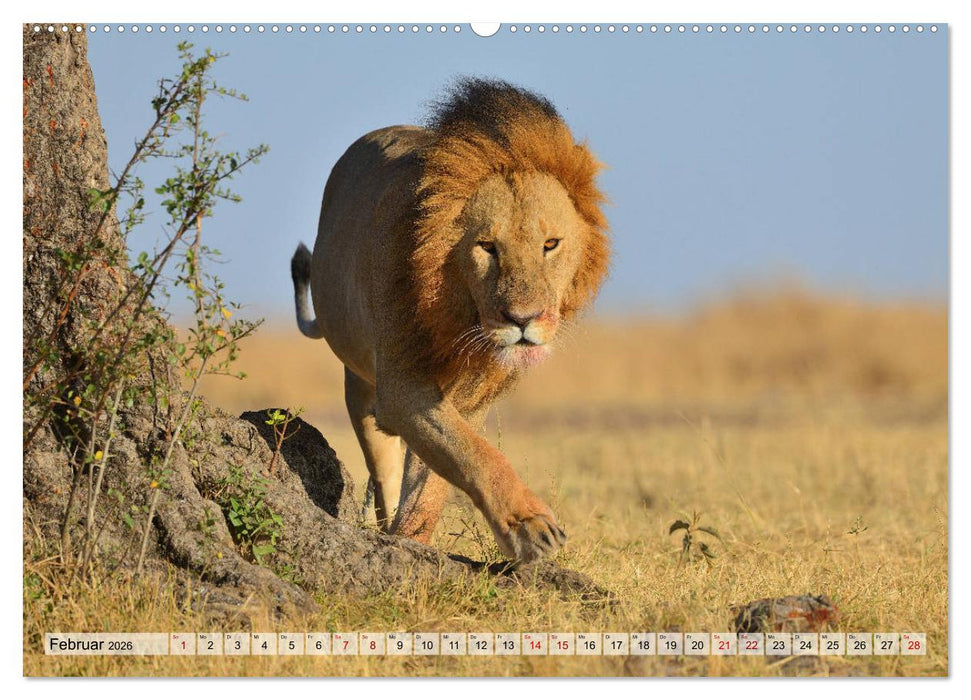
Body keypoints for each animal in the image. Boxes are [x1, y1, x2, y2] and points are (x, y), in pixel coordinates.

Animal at [291, 78, 609, 562]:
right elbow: (476, 455)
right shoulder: (402, 385)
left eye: (550, 244)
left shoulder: (471, 399)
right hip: (359, 384)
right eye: (487, 246)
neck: (459, 319)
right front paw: (530, 527)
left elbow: (440, 477)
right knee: (381, 471)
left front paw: (416, 543)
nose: (523, 320)